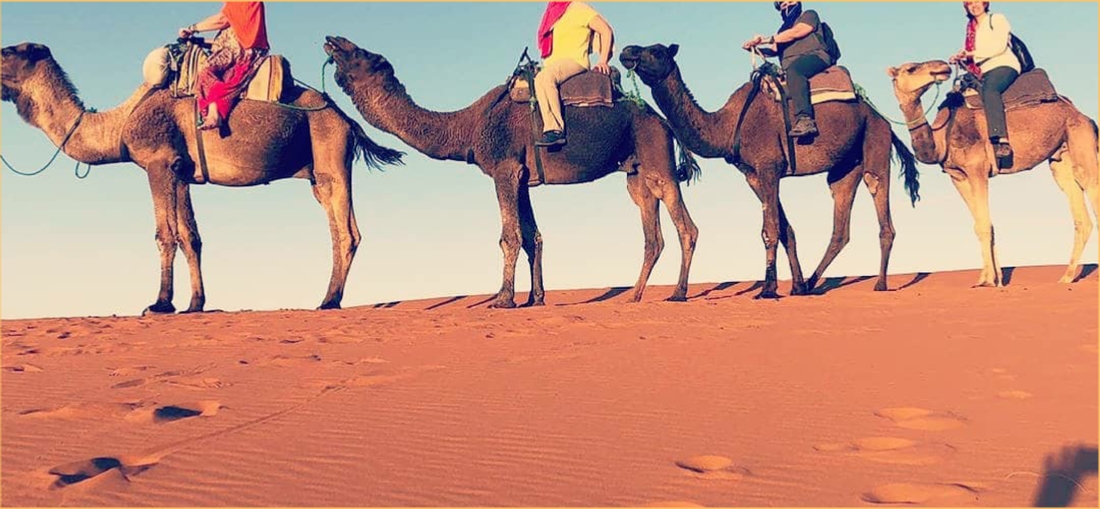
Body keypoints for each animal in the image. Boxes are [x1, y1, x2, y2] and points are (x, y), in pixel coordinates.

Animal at [1, 42, 405, 314]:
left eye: (9, 51)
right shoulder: (181, 172)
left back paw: (329, 300)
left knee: (345, 231)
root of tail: (345, 117)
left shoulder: (159, 163)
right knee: (338, 224)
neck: (120, 124)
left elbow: (164, 235)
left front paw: (159, 304)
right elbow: (190, 237)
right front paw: (195, 303)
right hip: (318, 172)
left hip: (330, 151)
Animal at [322, 35, 701, 308]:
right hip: (636, 173)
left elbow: (509, 236)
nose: (332, 39)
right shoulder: (523, 177)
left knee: (686, 226)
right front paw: (535, 298)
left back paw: (678, 293)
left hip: (657, 159)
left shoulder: (504, 169)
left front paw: (504, 299)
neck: (468, 126)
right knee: (652, 234)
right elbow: (533, 237)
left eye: (364, 55)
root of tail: (663, 121)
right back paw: (635, 295)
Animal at [619, 43, 921, 298]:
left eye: (656, 51)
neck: (727, 124)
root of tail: (883, 119)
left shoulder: (769, 167)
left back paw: (880, 284)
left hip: (875, 144)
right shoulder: (753, 175)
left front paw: (767, 289)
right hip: (844, 168)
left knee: (881, 208)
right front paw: (795, 286)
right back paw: (811, 283)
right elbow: (785, 229)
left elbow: (771, 230)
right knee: (840, 227)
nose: (627, 51)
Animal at [887, 60, 1099, 286]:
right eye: (911, 69)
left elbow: (983, 225)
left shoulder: (977, 169)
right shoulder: (958, 177)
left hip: (1081, 139)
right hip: (1061, 157)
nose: (942, 67)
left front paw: (987, 281)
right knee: (1078, 208)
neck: (942, 137)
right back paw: (1066, 277)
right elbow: (983, 224)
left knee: (1090, 186)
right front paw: (993, 279)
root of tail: (1080, 113)